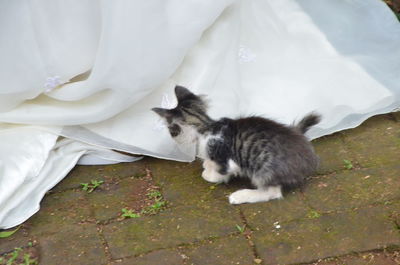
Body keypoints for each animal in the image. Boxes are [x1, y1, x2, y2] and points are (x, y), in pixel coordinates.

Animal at [152, 85, 320, 203]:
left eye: (171, 131)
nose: (174, 139)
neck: (207, 127)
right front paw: (207, 163)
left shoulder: (226, 161)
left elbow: (217, 174)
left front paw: (208, 173)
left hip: (262, 168)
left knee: (272, 192)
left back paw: (240, 196)